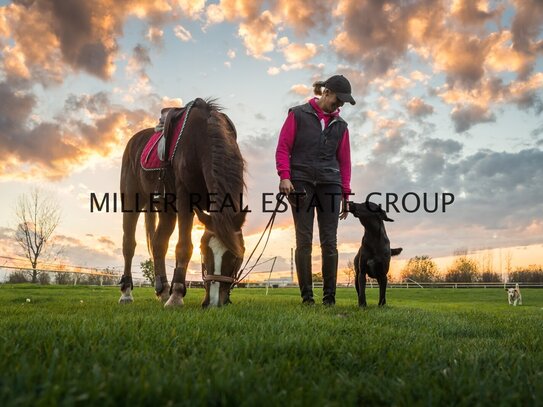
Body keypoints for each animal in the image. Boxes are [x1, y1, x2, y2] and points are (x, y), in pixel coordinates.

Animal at [120, 99, 248, 310]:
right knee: (129, 244)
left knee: (159, 243)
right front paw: (177, 295)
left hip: (166, 210)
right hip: (131, 200)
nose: (213, 302)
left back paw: (163, 290)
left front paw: (172, 292)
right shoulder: (185, 198)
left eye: (236, 255)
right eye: (204, 250)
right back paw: (126, 293)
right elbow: (184, 246)